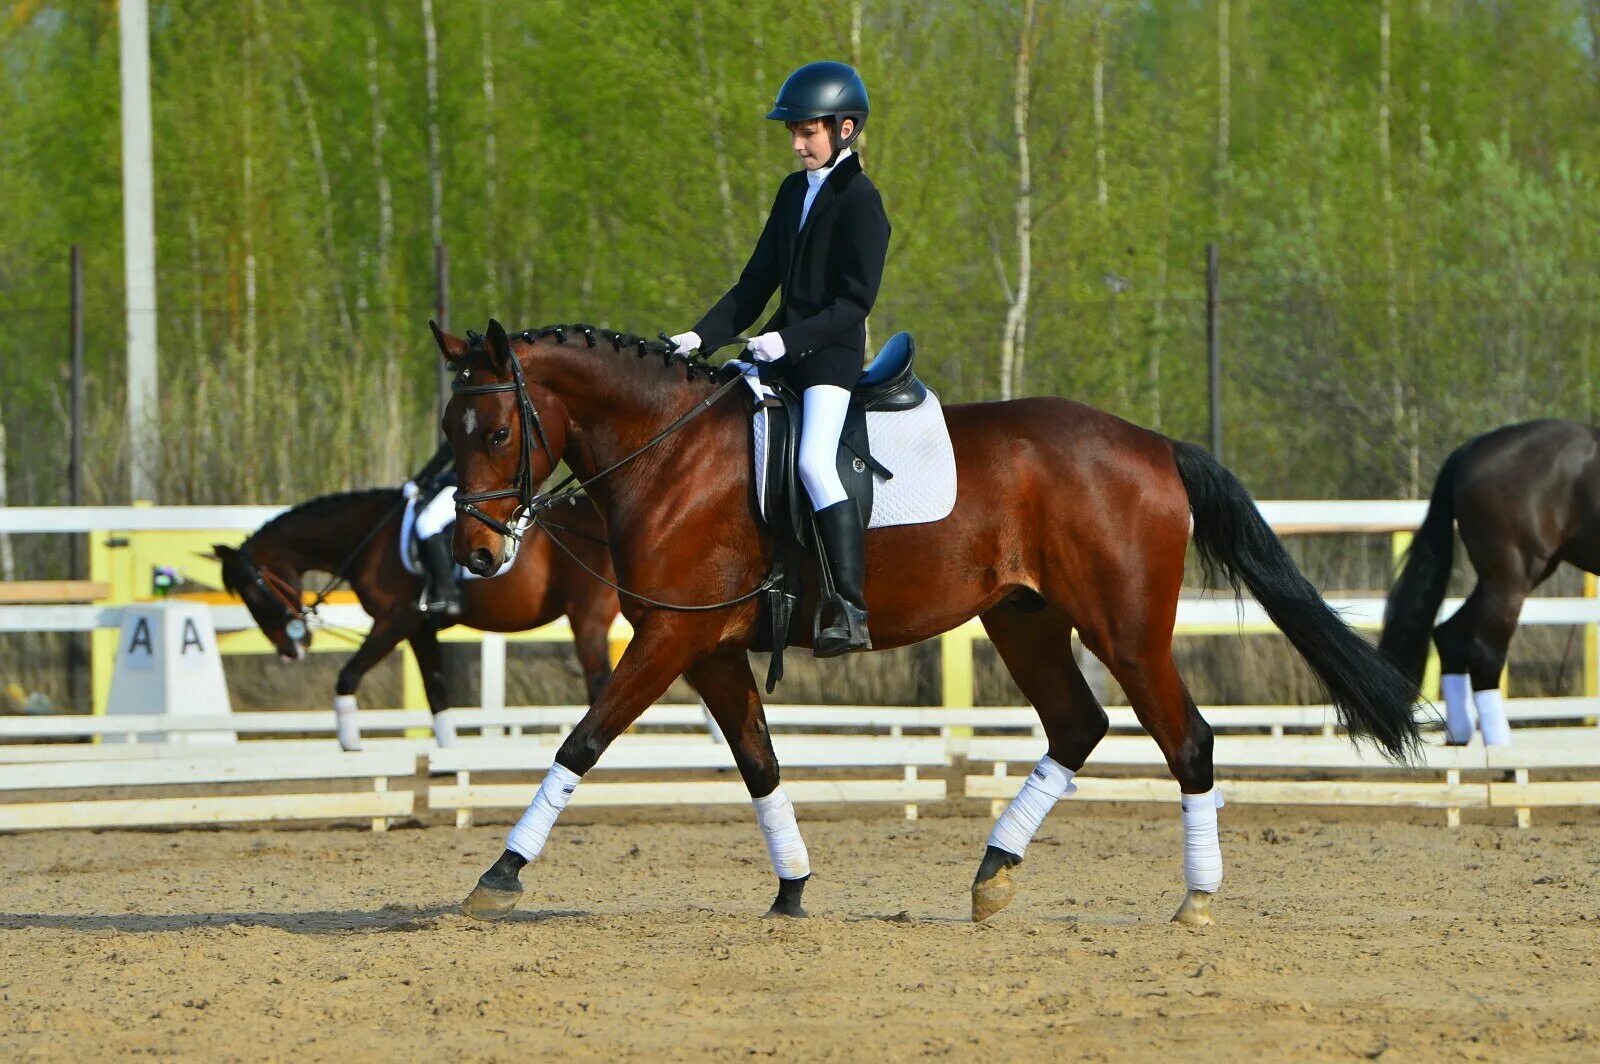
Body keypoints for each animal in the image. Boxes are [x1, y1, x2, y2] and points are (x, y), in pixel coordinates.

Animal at [222, 483, 620, 745]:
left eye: (252, 594)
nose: (291, 650)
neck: (371, 536)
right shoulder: (421, 629)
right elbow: (437, 696)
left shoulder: (396, 620)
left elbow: (348, 676)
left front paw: (350, 744)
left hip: (588, 619)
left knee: (601, 686)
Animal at [432, 320, 1420, 928]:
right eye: (451, 427)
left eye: (495, 432)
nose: (474, 556)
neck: (670, 452)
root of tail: (1154, 445)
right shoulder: (705, 645)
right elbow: (759, 764)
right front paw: (792, 889)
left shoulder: (669, 641)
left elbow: (582, 741)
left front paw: (498, 877)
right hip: (1025, 620)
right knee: (1079, 725)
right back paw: (993, 875)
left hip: (1128, 630)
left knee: (1189, 741)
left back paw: (1196, 901)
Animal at [1376, 419, 1600, 742]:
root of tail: (1470, 449)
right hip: (1510, 577)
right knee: (1485, 650)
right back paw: (1499, 742)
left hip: (1500, 578)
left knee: (1450, 634)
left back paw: (1459, 734)